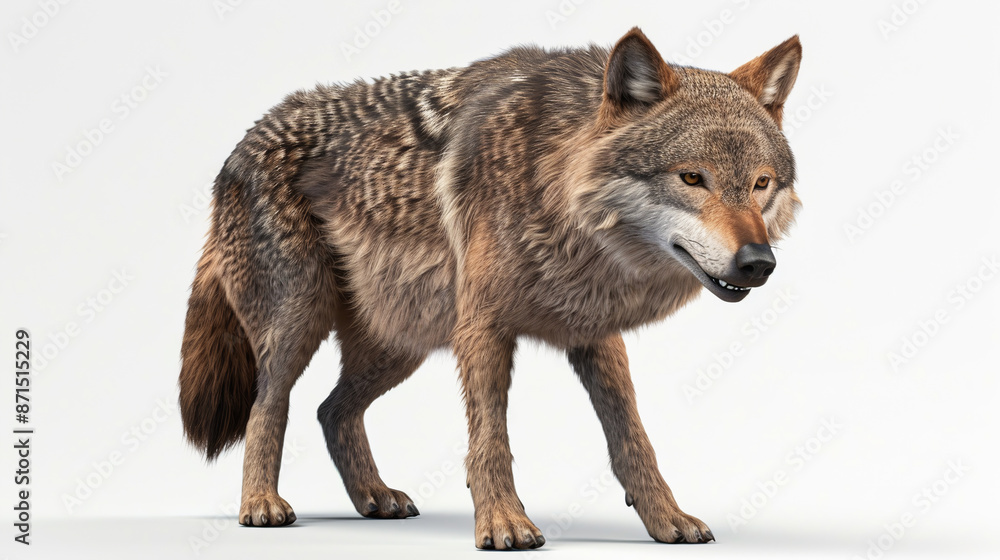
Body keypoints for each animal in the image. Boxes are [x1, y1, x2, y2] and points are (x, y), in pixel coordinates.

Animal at [179, 27, 802, 549]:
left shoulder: (595, 334)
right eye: (692, 178)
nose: (758, 263)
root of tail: (238, 147)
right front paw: (504, 523)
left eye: (760, 184)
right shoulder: (482, 327)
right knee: (269, 405)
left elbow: (632, 438)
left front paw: (667, 519)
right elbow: (490, 439)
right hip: (299, 323)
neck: (552, 188)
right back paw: (261, 504)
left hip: (401, 345)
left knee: (331, 411)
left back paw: (374, 497)